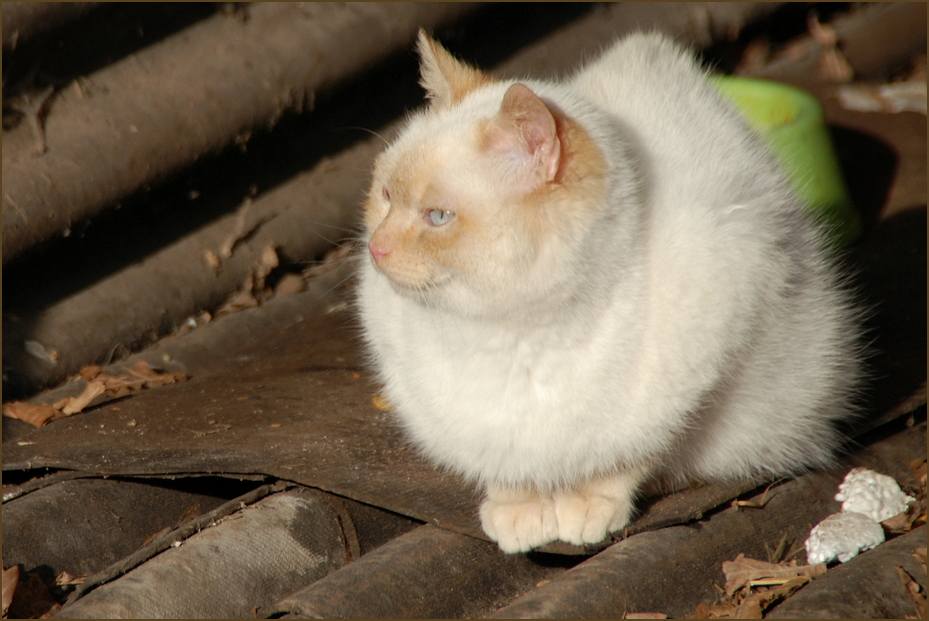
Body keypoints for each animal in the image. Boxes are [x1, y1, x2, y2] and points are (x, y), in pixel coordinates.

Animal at [356, 30, 864, 552]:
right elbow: (506, 466)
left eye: (437, 217)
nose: (376, 248)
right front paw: (518, 511)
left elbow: (626, 460)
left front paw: (588, 507)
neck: (512, 336)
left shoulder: (705, 368)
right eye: (387, 196)